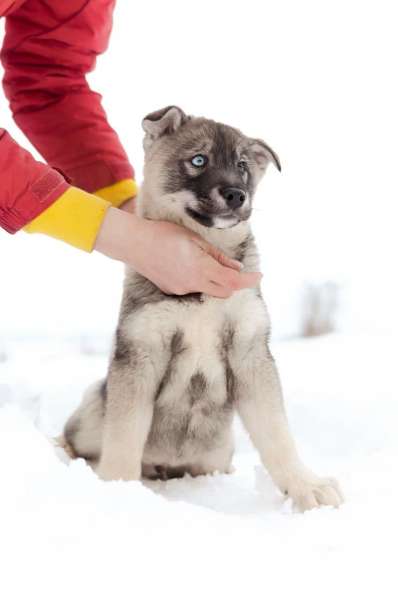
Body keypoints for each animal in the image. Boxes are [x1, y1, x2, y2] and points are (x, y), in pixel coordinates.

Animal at [62, 106, 342, 508]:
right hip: (95, 404)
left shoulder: (250, 350)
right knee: (78, 439)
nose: (237, 194)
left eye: (242, 165)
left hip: (217, 453)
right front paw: (120, 490)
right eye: (198, 160)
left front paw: (306, 485)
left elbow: (277, 433)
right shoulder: (141, 352)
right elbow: (124, 436)